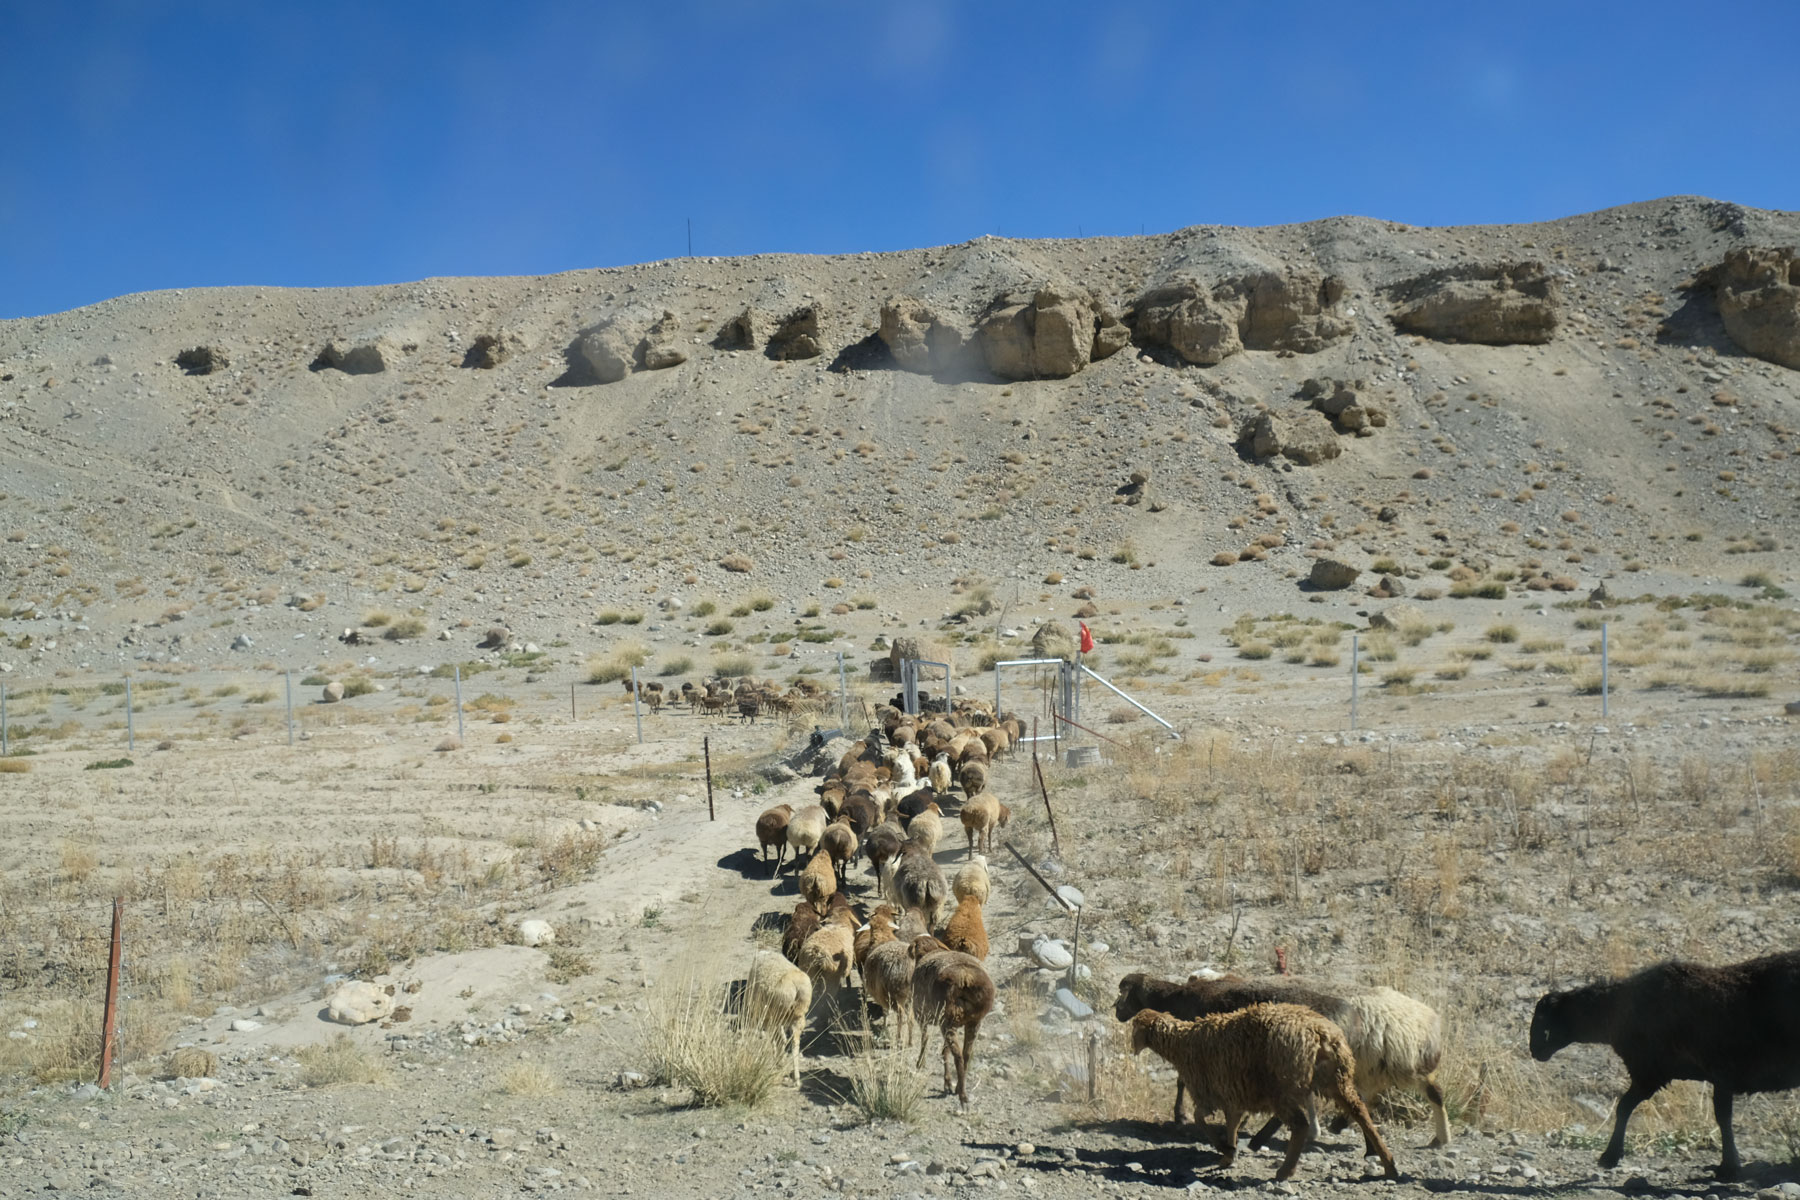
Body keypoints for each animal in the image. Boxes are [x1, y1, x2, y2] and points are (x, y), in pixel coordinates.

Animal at [741, 957, 813, 1086]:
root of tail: (797, 987)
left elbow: (775, 1038)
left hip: (776, 1015)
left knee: (781, 1038)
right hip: (797, 1018)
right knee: (794, 1043)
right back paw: (796, 1078)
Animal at [914, 935, 1000, 1108]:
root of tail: (965, 978)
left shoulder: (921, 1016)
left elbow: (925, 1040)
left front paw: (921, 1062)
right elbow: (944, 1050)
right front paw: (947, 1083)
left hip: (947, 1022)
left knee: (958, 1056)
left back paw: (961, 1095)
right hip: (973, 1022)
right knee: (966, 1054)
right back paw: (959, 1088)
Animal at [1123, 1007, 1404, 1180]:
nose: (1130, 1048)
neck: (1182, 1044)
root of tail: (1320, 1034)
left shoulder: (1210, 1091)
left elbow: (1202, 1120)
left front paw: (1225, 1149)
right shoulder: (1232, 1094)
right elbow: (1232, 1123)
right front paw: (1229, 1155)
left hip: (1283, 1086)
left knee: (1300, 1125)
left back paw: (1284, 1172)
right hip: (1337, 1079)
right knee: (1361, 1113)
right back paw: (1389, 1164)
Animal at [1526, 949, 1800, 1180]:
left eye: (1542, 1020)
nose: (1534, 1051)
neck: (1616, 1012)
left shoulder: (1655, 1072)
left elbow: (1625, 1108)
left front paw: (1609, 1156)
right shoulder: (1674, 1074)